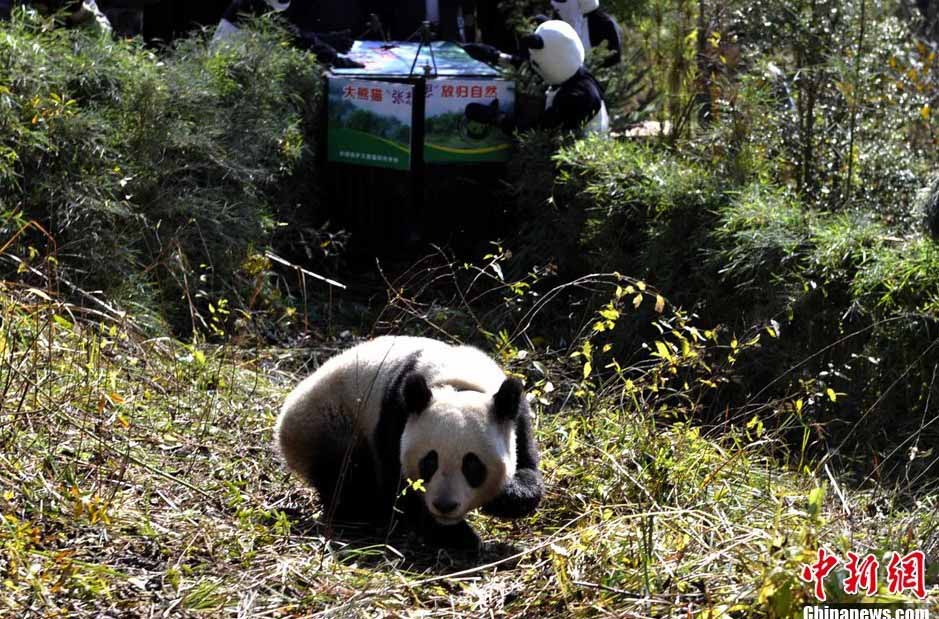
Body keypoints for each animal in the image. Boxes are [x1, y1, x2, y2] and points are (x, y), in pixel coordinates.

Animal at [274, 336, 544, 548]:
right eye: (429, 462)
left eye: (472, 465)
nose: (445, 505)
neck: (459, 382)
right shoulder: (396, 414)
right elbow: (400, 488)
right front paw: (459, 538)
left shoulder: (516, 416)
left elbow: (528, 469)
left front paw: (504, 497)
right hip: (331, 423)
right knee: (346, 476)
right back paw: (364, 512)